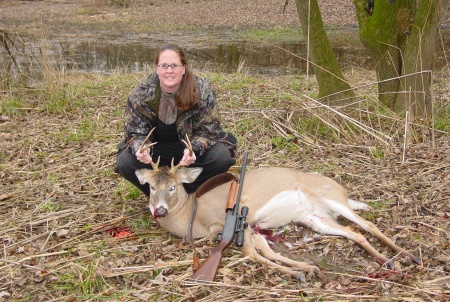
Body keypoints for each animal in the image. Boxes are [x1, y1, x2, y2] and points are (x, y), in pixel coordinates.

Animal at [132, 139, 420, 280]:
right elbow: (266, 250)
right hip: (315, 218)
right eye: (151, 187)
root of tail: (341, 189)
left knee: (367, 224)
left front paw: (299, 272)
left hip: (331, 197)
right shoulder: (253, 226)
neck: (192, 214)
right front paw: (306, 269)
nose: (159, 210)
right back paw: (389, 262)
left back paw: (410, 256)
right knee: (354, 232)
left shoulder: (237, 221)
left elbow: (251, 253)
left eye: (173, 187)